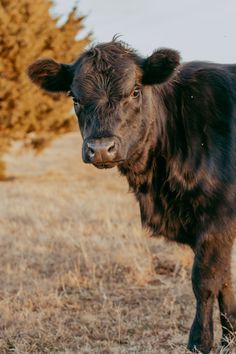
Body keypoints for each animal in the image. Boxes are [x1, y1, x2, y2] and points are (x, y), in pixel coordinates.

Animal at [28, 40, 236, 352]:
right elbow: (225, 281)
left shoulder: (218, 218)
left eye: (135, 91)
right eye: (74, 97)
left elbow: (206, 280)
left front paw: (200, 341)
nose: (101, 148)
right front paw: (229, 338)